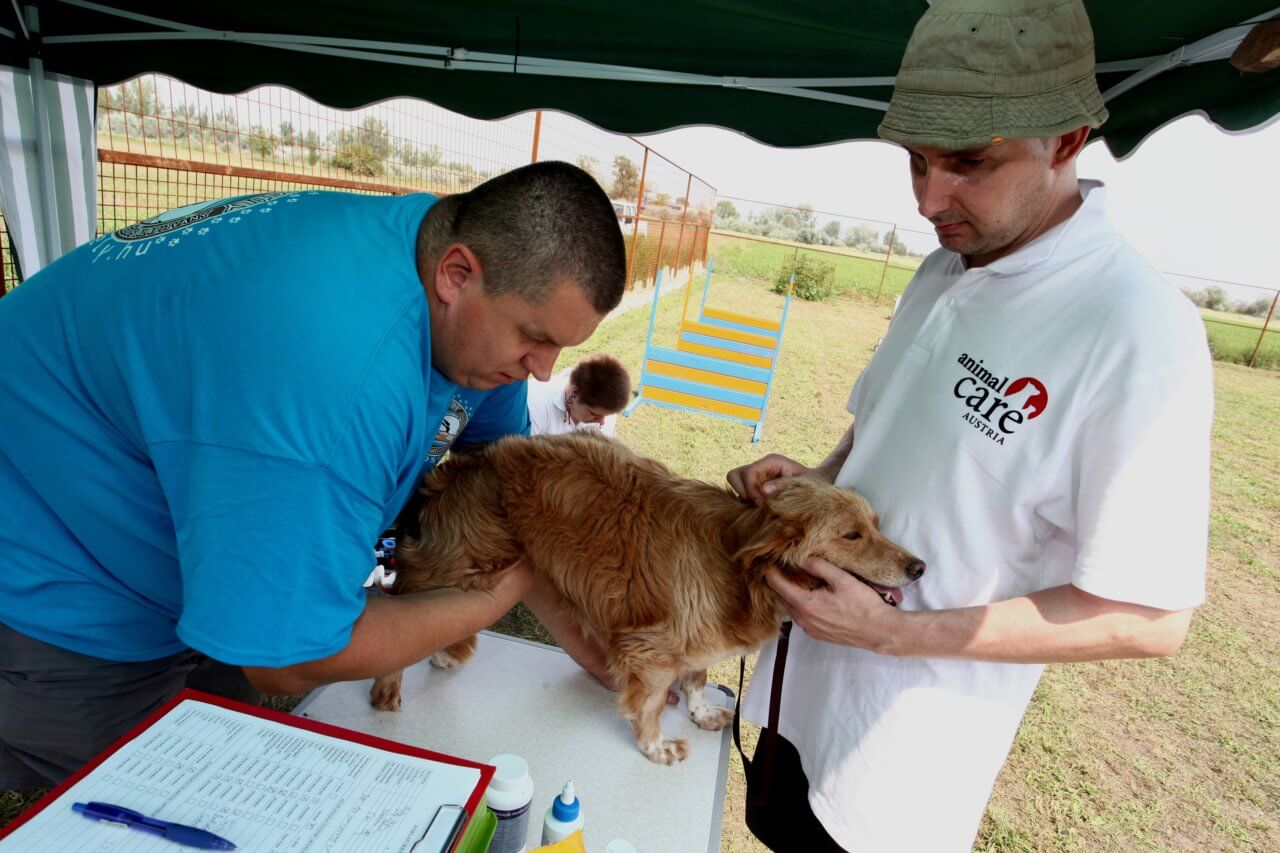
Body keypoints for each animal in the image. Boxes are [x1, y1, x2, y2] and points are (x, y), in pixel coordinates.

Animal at [370, 432, 924, 764]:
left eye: (876, 525)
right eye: (852, 535)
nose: (919, 568)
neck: (737, 561)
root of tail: (467, 462)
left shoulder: (696, 642)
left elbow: (696, 680)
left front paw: (701, 714)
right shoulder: (649, 649)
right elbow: (654, 703)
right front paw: (655, 745)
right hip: (462, 568)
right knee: (402, 599)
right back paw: (391, 679)